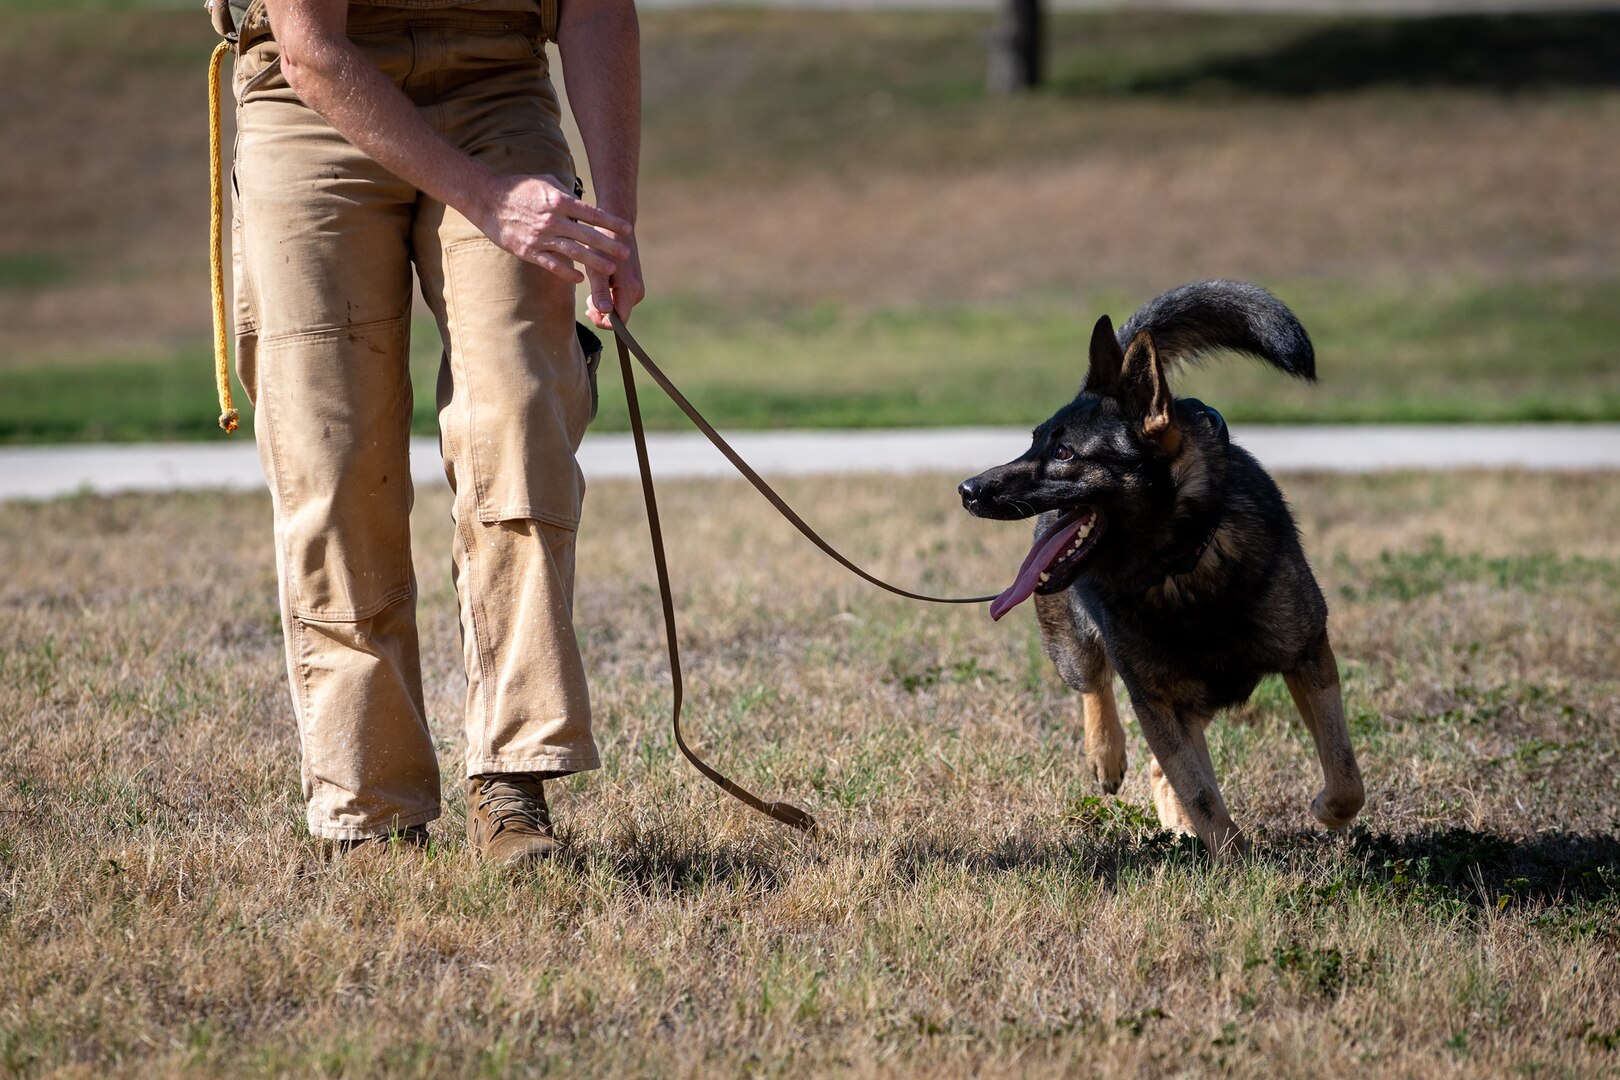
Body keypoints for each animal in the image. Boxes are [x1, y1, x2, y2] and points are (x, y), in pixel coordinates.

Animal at [959, 283, 1367, 854]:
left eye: (1063, 453)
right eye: (1034, 441)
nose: (968, 489)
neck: (1182, 565)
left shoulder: (1308, 654)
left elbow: (1345, 774)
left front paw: (1325, 811)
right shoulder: (1155, 701)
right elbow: (1200, 793)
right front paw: (1235, 860)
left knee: (1161, 766)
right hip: (1076, 647)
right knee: (1094, 685)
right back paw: (1106, 752)